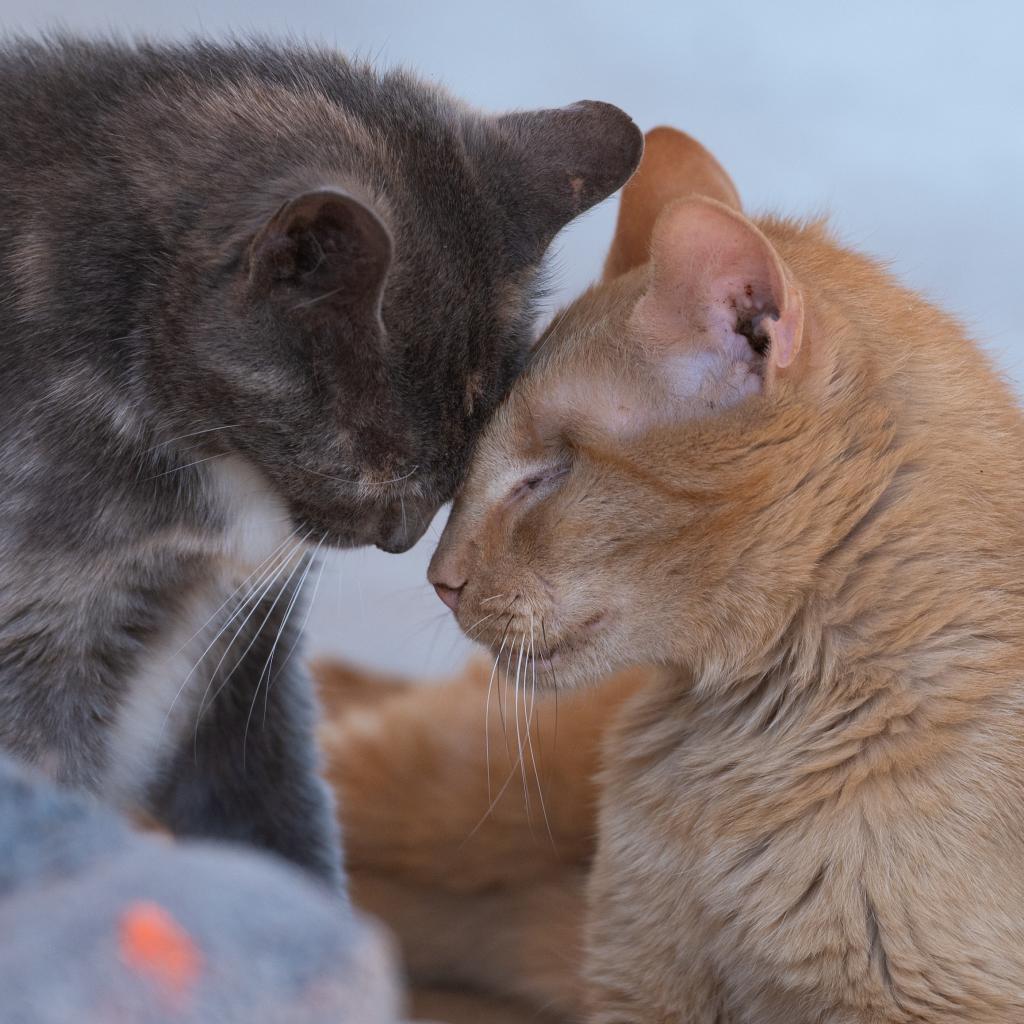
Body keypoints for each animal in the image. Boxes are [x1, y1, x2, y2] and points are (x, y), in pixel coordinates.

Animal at [0, 36, 638, 884]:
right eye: (368, 463)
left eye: (459, 473)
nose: (402, 540)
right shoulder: (40, 660)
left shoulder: (249, 654)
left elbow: (283, 815)